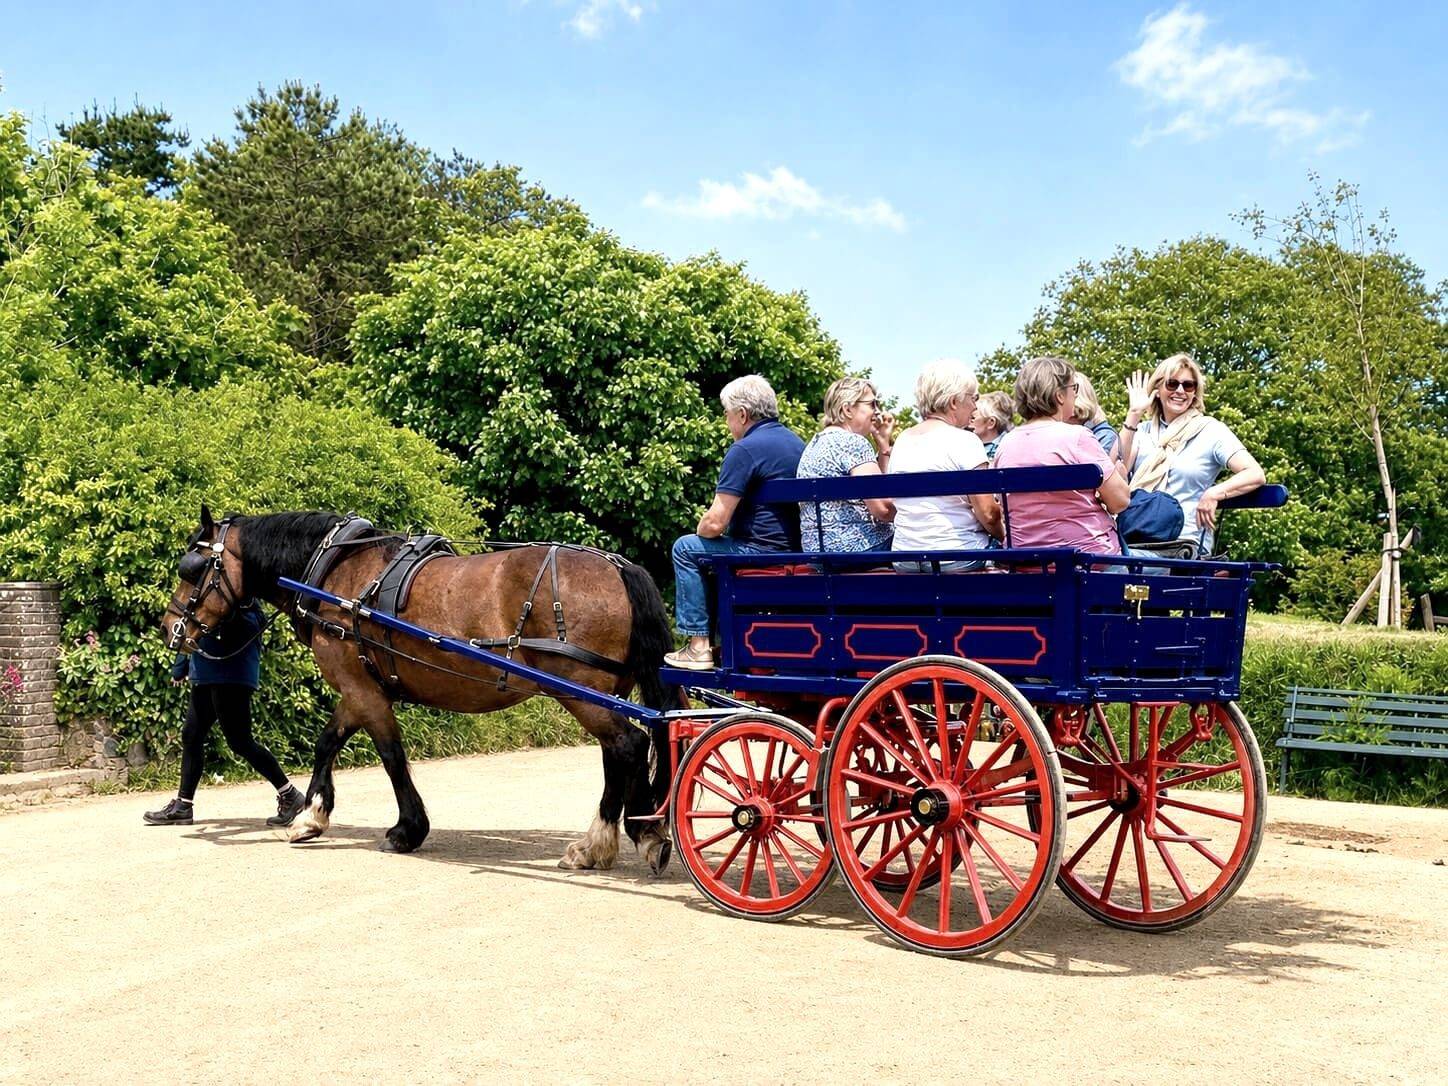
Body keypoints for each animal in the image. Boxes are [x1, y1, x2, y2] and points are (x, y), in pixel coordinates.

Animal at [161, 506, 676, 872]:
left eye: (192, 568)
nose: (171, 628)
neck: (334, 571)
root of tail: (618, 567)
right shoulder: (359, 688)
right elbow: (328, 742)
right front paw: (311, 815)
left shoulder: (361, 690)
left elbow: (390, 756)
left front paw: (406, 829)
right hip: (599, 692)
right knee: (622, 751)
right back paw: (633, 834)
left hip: (578, 689)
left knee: (628, 745)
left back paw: (600, 844)